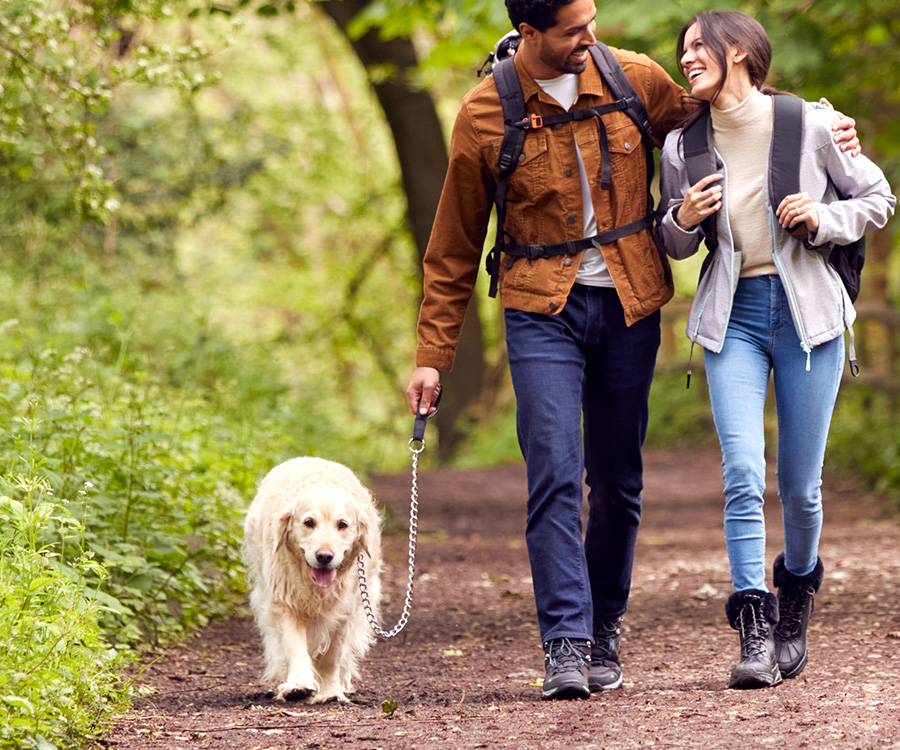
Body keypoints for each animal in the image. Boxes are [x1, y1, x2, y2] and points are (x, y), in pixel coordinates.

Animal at [243, 456, 380, 708]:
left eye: (342, 524)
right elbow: (295, 647)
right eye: (309, 522)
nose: (324, 556)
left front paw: (330, 691)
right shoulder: (284, 604)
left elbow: (332, 656)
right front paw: (297, 685)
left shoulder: (343, 611)